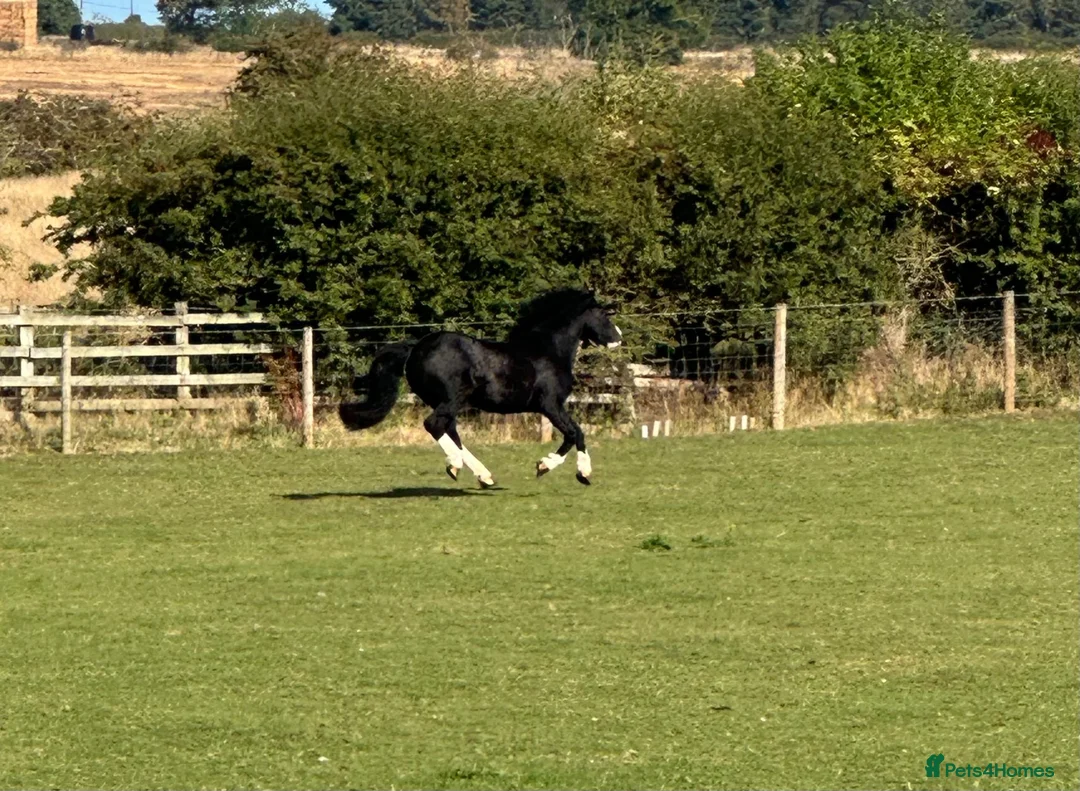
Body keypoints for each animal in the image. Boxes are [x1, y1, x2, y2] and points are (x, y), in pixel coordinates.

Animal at [338, 288, 623, 488]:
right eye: (603, 315)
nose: (618, 339)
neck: (547, 351)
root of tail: (416, 348)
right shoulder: (550, 405)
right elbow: (574, 433)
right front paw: (563, 469)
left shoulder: (552, 407)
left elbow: (575, 434)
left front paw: (563, 469)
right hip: (452, 398)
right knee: (435, 425)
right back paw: (456, 466)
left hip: (444, 401)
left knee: (450, 431)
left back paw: (483, 476)